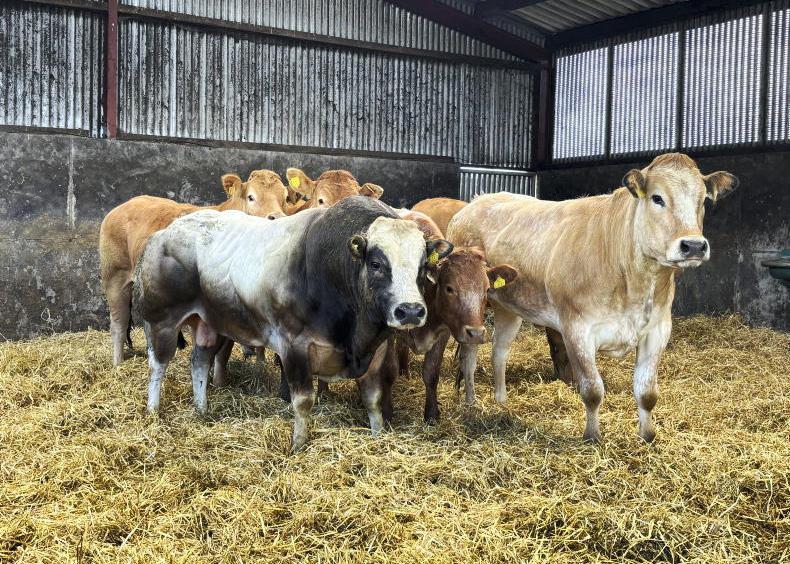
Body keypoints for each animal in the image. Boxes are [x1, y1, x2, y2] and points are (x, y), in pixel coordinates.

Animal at [100, 169, 299, 367]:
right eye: (251, 197)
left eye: (285, 197)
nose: (277, 218)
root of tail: (125, 204)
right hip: (115, 276)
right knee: (118, 323)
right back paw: (117, 365)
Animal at [133, 196, 453, 450]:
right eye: (376, 264)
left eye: (423, 266)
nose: (409, 311)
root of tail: (165, 232)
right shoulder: (294, 347)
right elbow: (303, 401)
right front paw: (298, 445)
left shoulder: (377, 351)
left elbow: (373, 400)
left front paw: (377, 436)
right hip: (161, 321)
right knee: (158, 366)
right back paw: (153, 411)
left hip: (208, 324)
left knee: (199, 363)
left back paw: (201, 410)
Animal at [446, 153, 738, 443]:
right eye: (657, 198)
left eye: (703, 200)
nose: (694, 246)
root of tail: (474, 202)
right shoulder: (577, 329)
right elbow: (592, 390)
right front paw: (592, 437)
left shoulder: (658, 330)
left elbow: (647, 393)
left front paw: (647, 436)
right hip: (473, 308)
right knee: (470, 355)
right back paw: (471, 403)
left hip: (510, 307)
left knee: (499, 351)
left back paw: (502, 402)